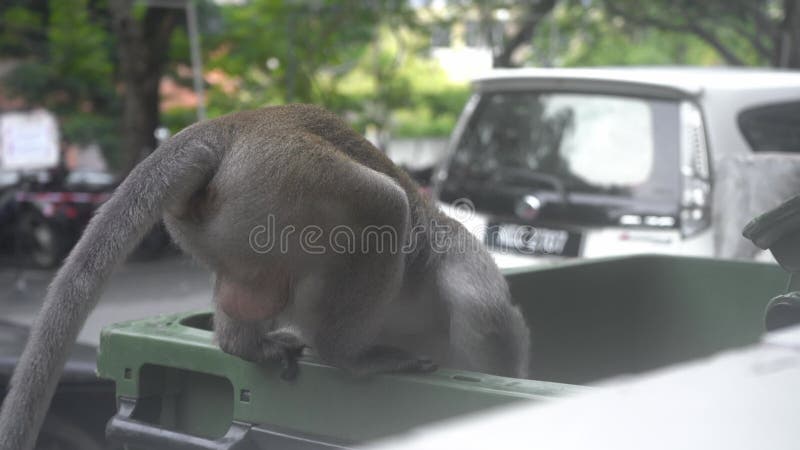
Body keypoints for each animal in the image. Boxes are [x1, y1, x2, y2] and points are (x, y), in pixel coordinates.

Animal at [0, 104, 532, 446]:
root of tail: (231, 125)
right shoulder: (471, 270)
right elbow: (490, 321)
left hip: (229, 215)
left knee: (248, 286)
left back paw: (244, 344)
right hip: (291, 175)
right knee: (381, 205)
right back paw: (352, 357)